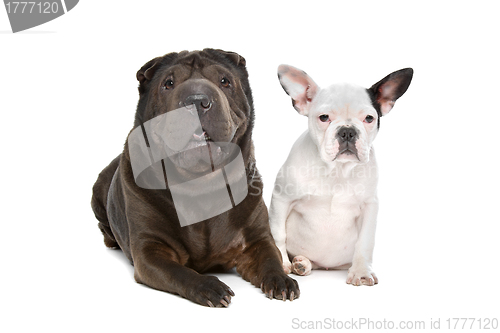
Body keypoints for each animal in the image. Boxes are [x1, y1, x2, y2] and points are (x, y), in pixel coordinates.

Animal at [91, 48, 298, 306]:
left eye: (224, 81)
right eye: (168, 83)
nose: (197, 100)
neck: (200, 184)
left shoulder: (256, 239)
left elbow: (271, 258)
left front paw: (281, 280)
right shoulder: (150, 249)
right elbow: (178, 272)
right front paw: (209, 287)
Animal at [272, 65, 412, 286]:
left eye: (369, 118)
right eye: (323, 117)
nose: (347, 131)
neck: (337, 170)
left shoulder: (369, 206)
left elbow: (365, 241)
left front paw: (362, 272)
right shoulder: (281, 199)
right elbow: (278, 234)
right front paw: (282, 263)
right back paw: (300, 263)